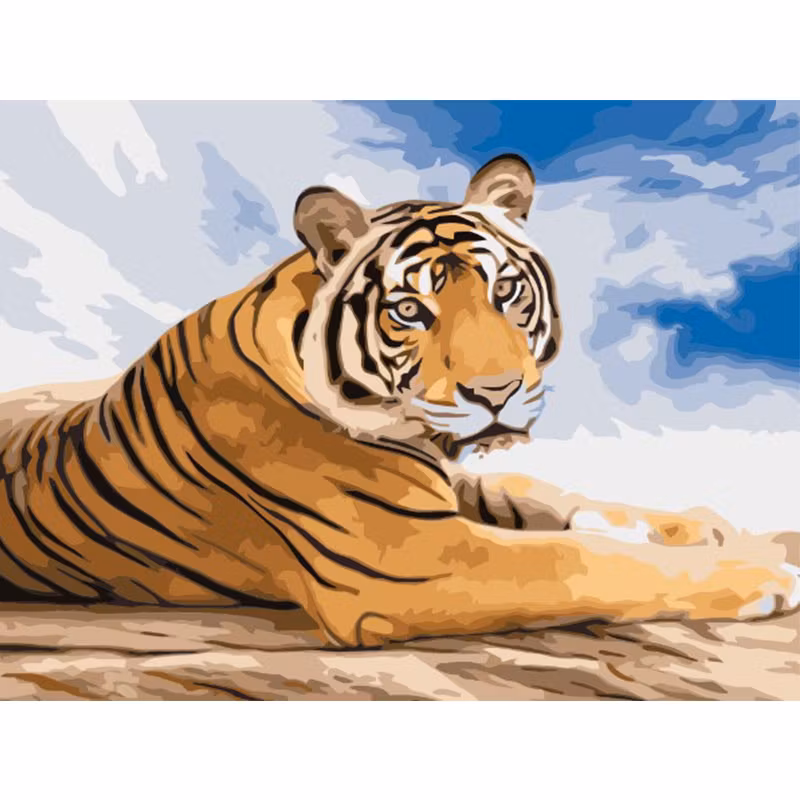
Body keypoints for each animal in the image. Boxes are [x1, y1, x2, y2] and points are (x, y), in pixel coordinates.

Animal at [1, 154, 797, 648]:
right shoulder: (415, 557)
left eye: (505, 290)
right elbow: (577, 559)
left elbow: (550, 500)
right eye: (410, 311)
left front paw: (705, 526)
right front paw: (761, 571)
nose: (498, 393)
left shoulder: (456, 487)